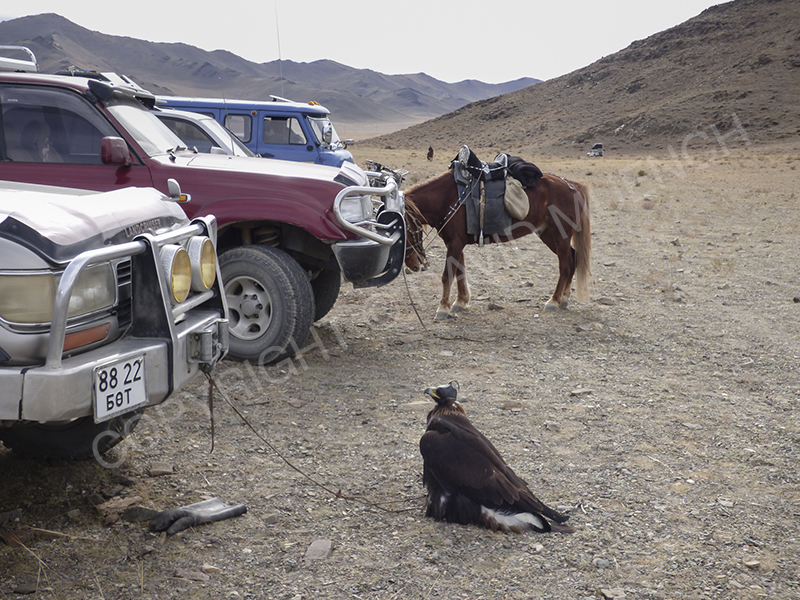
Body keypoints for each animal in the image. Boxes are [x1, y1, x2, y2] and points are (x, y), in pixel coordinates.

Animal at [404, 170, 592, 320]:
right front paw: (461, 301)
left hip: (560, 235)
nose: (413, 265)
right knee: (572, 258)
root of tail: (572, 185)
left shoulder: (456, 243)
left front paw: (443, 308)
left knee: (565, 266)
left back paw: (553, 301)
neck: (447, 197)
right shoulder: (455, 242)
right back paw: (564, 299)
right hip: (548, 234)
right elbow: (460, 272)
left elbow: (447, 275)